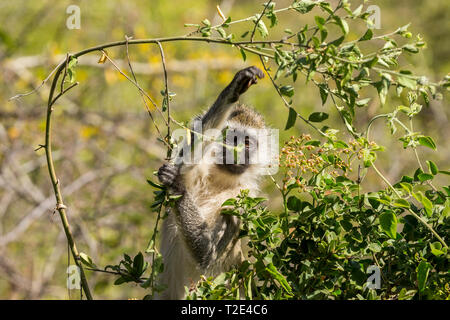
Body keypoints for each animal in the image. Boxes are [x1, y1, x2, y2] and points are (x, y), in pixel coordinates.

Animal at [156, 66, 266, 298]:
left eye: (246, 143)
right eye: (230, 138)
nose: (237, 152)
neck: (221, 181)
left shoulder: (243, 200)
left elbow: (207, 254)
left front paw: (177, 187)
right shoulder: (197, 169)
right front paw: (233, 89)